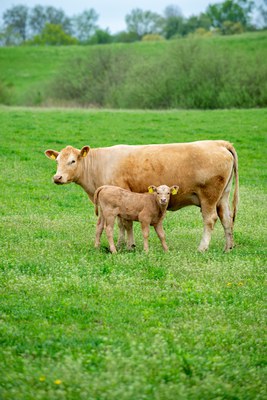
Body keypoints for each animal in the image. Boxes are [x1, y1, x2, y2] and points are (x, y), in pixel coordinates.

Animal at [45, 141, 240, 252]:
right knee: (226, 219)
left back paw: (202, 248)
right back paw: (228, 247)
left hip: (209, 197)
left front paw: (127, 245)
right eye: (57, 161)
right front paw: (125, 244)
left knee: (210, 220)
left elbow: (124, 223)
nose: (57, 177)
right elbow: (124, 223)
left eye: (72, 161)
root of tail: (220, 143)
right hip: (223, 197)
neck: (100, 165)